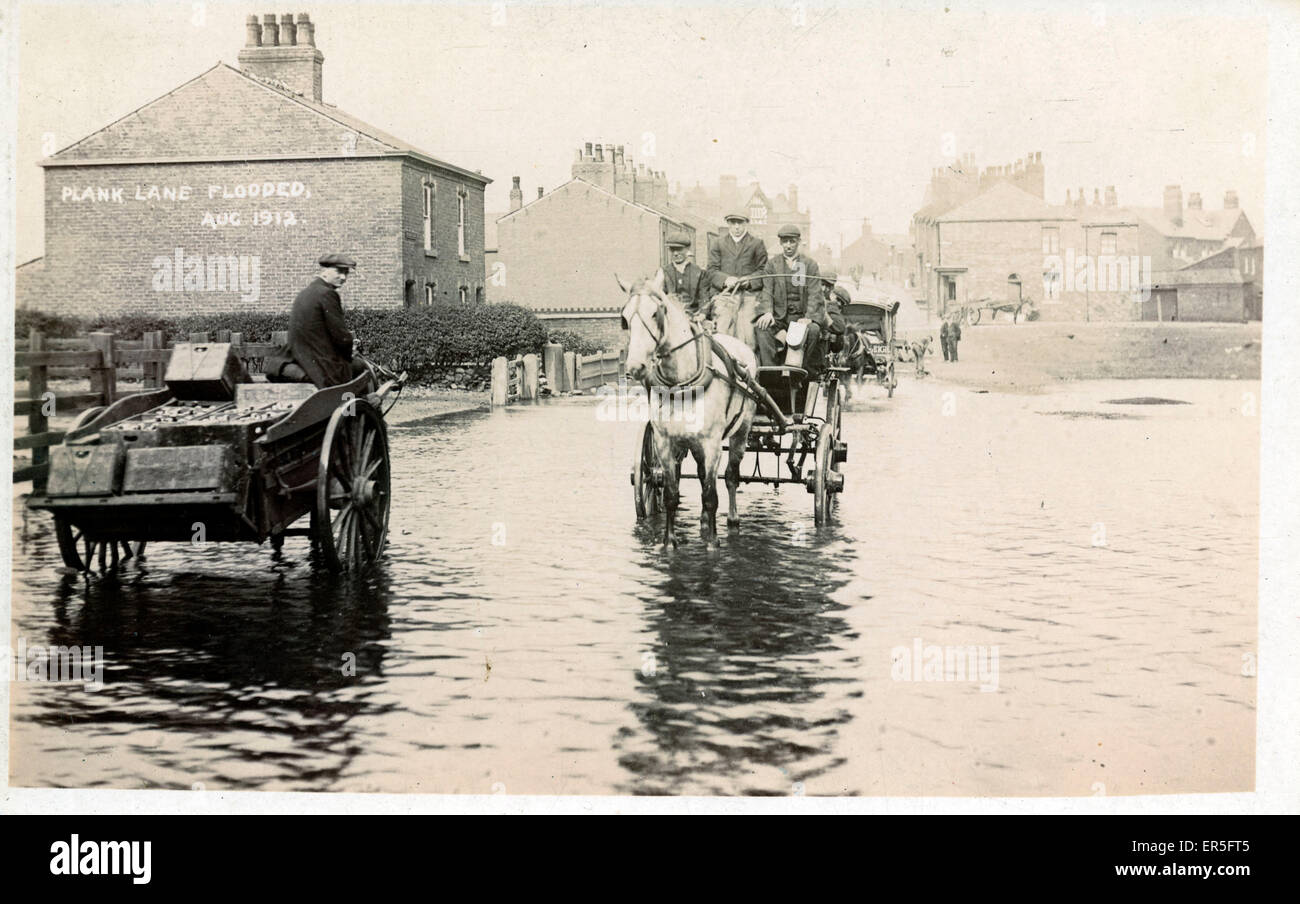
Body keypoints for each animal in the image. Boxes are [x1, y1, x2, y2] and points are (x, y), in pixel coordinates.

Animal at [621, 271, 759, 548]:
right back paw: (704, 521)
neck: (681, 381)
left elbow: (711, 495)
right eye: (624, 318)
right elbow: (671, 495)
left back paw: (732, 518)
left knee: (730, 476)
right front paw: (669, 542)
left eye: (656, 313)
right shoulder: (665, 443)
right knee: (703, 474)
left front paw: (713, 543)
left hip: (741, 432)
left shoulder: (712, 443)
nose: (635, 368)